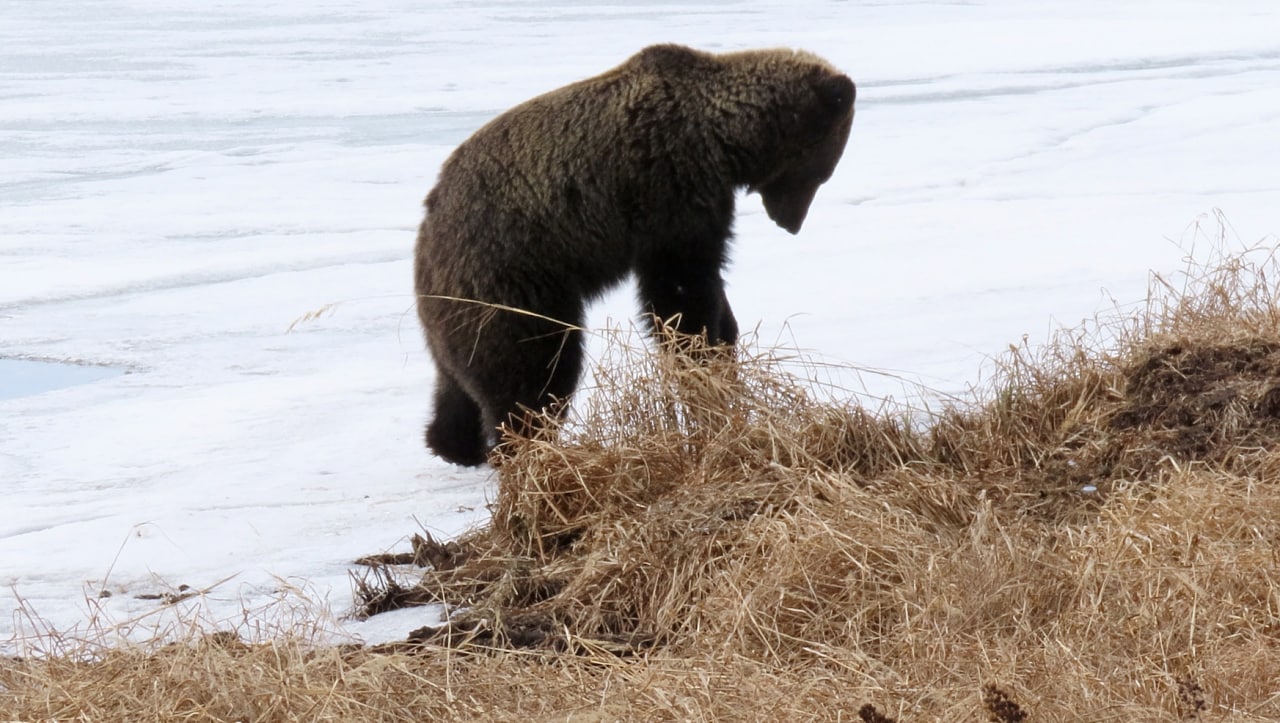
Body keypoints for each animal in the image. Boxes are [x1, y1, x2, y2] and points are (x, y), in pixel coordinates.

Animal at [414, 45, 855, 465]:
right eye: (821, 172)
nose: (791, 223)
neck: (724, 141)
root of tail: (428, 236)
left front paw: (724, 345)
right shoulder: (670, 190)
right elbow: (679, 295)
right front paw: (701, 353)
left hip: (458, 313)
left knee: (458, 384)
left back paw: (455, 446)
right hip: (511, 277)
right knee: (535, 366)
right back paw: (529, 445)